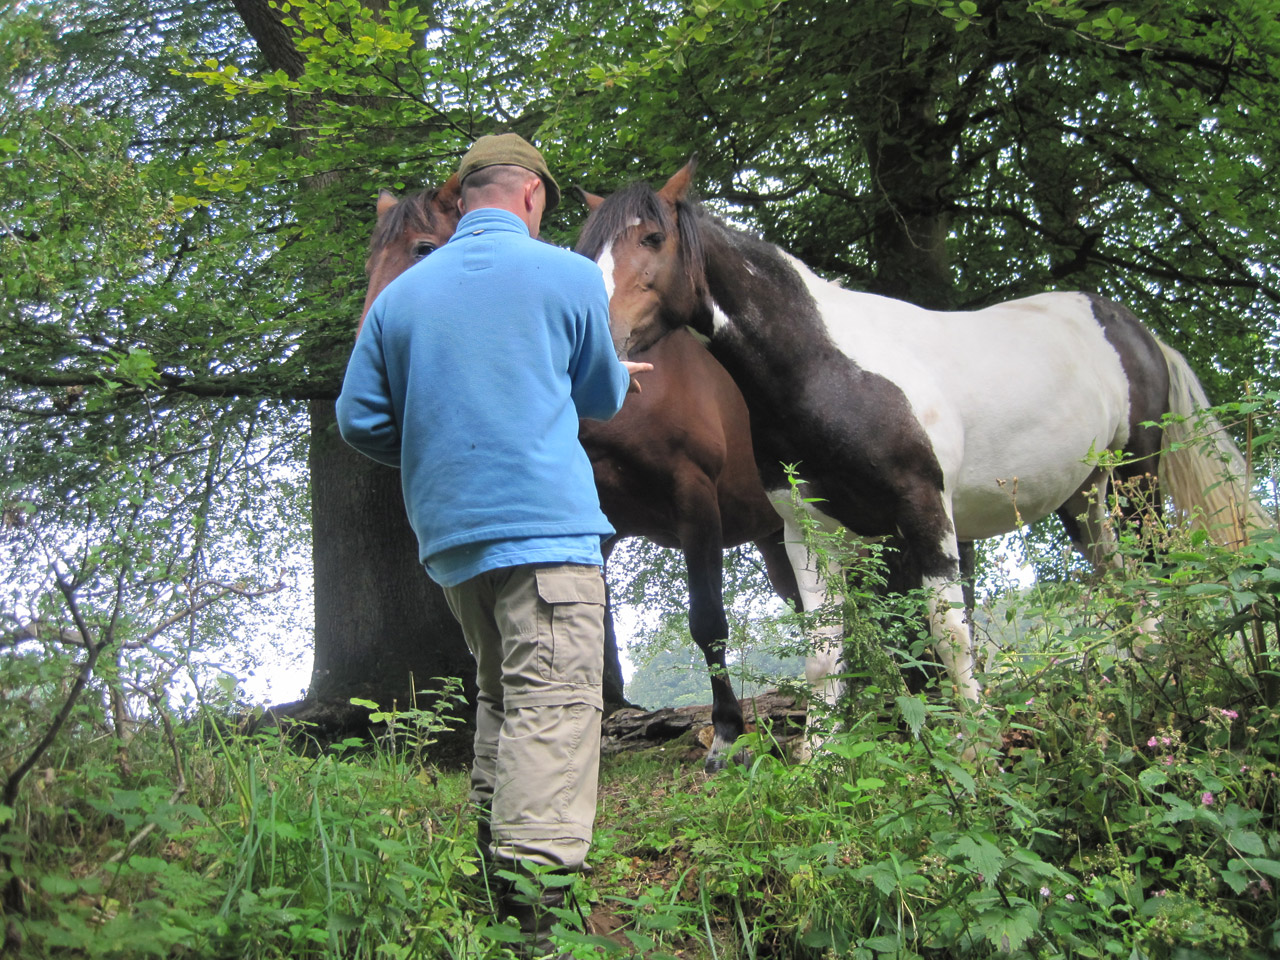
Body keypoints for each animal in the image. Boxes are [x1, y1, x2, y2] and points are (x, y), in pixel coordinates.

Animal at [360, 176, 798, 773]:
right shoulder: (600, 526)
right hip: (775, 537)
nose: (372, 354)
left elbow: (708, 621)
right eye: (369, 261)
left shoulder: (696, 503)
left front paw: (727, 733)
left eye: (423, 249)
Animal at [581, 160, 1269, 716]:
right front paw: (820, 768)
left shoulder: (925, 513)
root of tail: (1133, 329)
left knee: (1159, 574)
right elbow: (828, 658)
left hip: (1137, 484)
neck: (830, 369)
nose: (598, 339)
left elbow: (949, 638)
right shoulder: (810, 533)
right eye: (588, 249)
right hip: (1087, 499)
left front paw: (978, 757)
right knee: (1122, 584)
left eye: (652, 238)